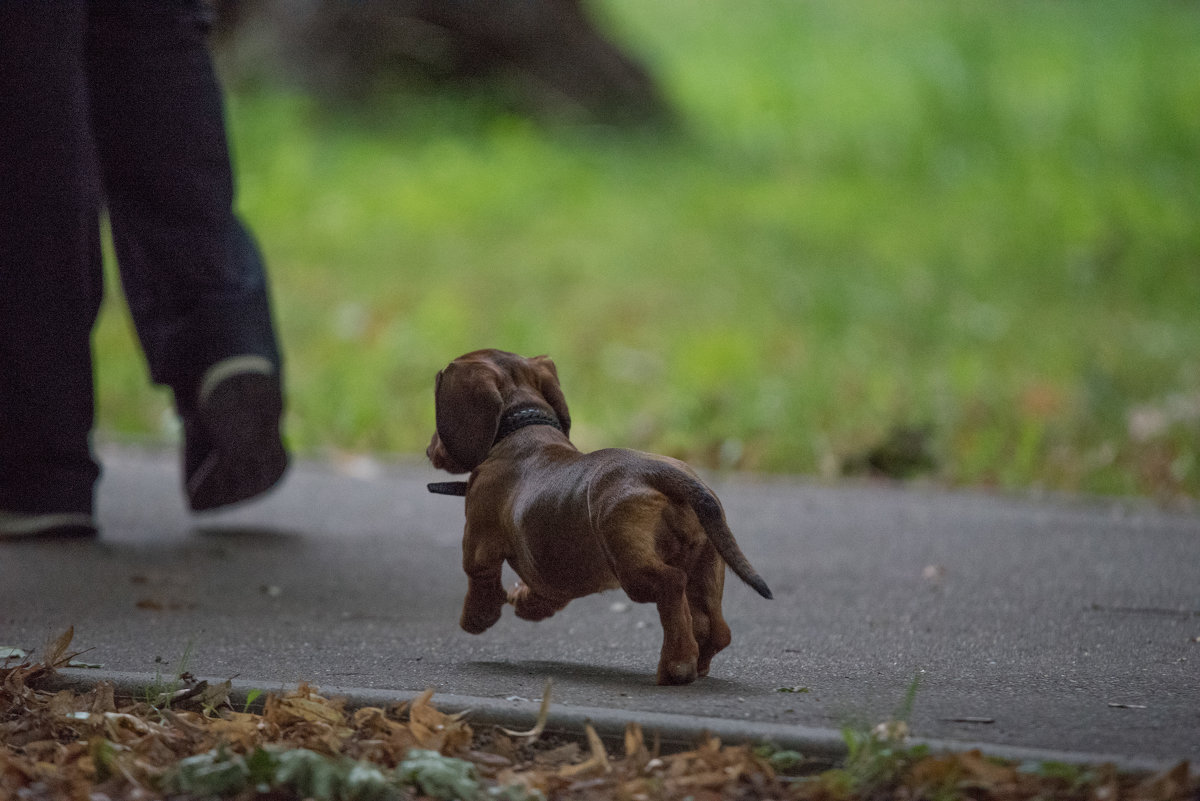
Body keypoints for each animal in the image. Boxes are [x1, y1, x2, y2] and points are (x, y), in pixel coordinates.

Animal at [427, 347, 772, 685]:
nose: (430, 450)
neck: (523, 430)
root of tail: (663, 474)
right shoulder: (550, 575)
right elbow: (545, 592)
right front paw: (525, 603)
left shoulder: (478, 545)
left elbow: (480, 579)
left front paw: (476, 619)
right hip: (708, 563)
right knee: (713, 626)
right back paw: (696, 661)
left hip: (634, 569)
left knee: (672, 585)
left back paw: (677, 665)